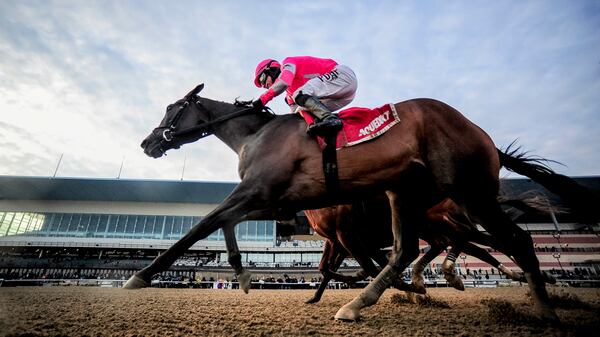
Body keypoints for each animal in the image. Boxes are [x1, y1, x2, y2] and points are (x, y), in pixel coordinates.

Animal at [132, 83, 564, 320]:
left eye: (172, 108)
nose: (148, 142)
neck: (257, 135)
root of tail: (479, 131)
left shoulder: (265, 194)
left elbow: (204, 223)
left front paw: (144, 274)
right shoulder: (276, 200)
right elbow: (227, 222)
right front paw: (241, 272)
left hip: (468, 192)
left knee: (511, 240)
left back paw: (542, 306)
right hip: (409, 197)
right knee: (410, 249)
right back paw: (367, 299)